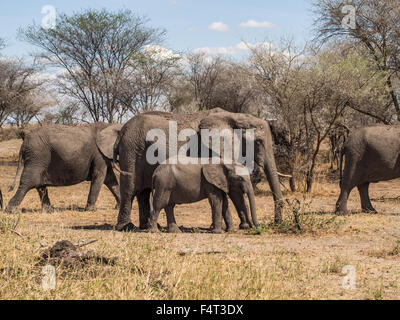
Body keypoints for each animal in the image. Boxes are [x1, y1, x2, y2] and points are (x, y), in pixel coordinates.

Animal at [112, 109, 284, 231]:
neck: (236, 116)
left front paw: (240, 227)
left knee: (143, 192)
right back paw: (126, 227)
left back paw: (148, 227)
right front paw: (236, 227)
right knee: (130, 189)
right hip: (131, 151)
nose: (276, 223)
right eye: (259, 142)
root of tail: (121, 133)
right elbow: (233, 191)